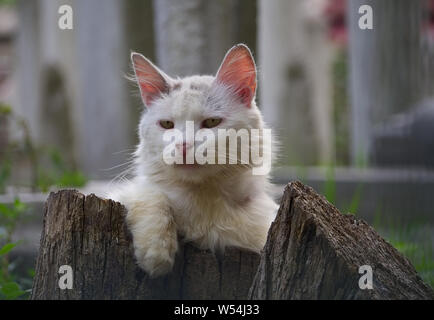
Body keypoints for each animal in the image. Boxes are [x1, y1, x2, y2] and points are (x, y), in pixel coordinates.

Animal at [108, 44, 278, 278]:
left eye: (212, 122)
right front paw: (156, 253)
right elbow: (151, 196)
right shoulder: (123, 193)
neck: (204, 199)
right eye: (167, 124)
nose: (183, 145)